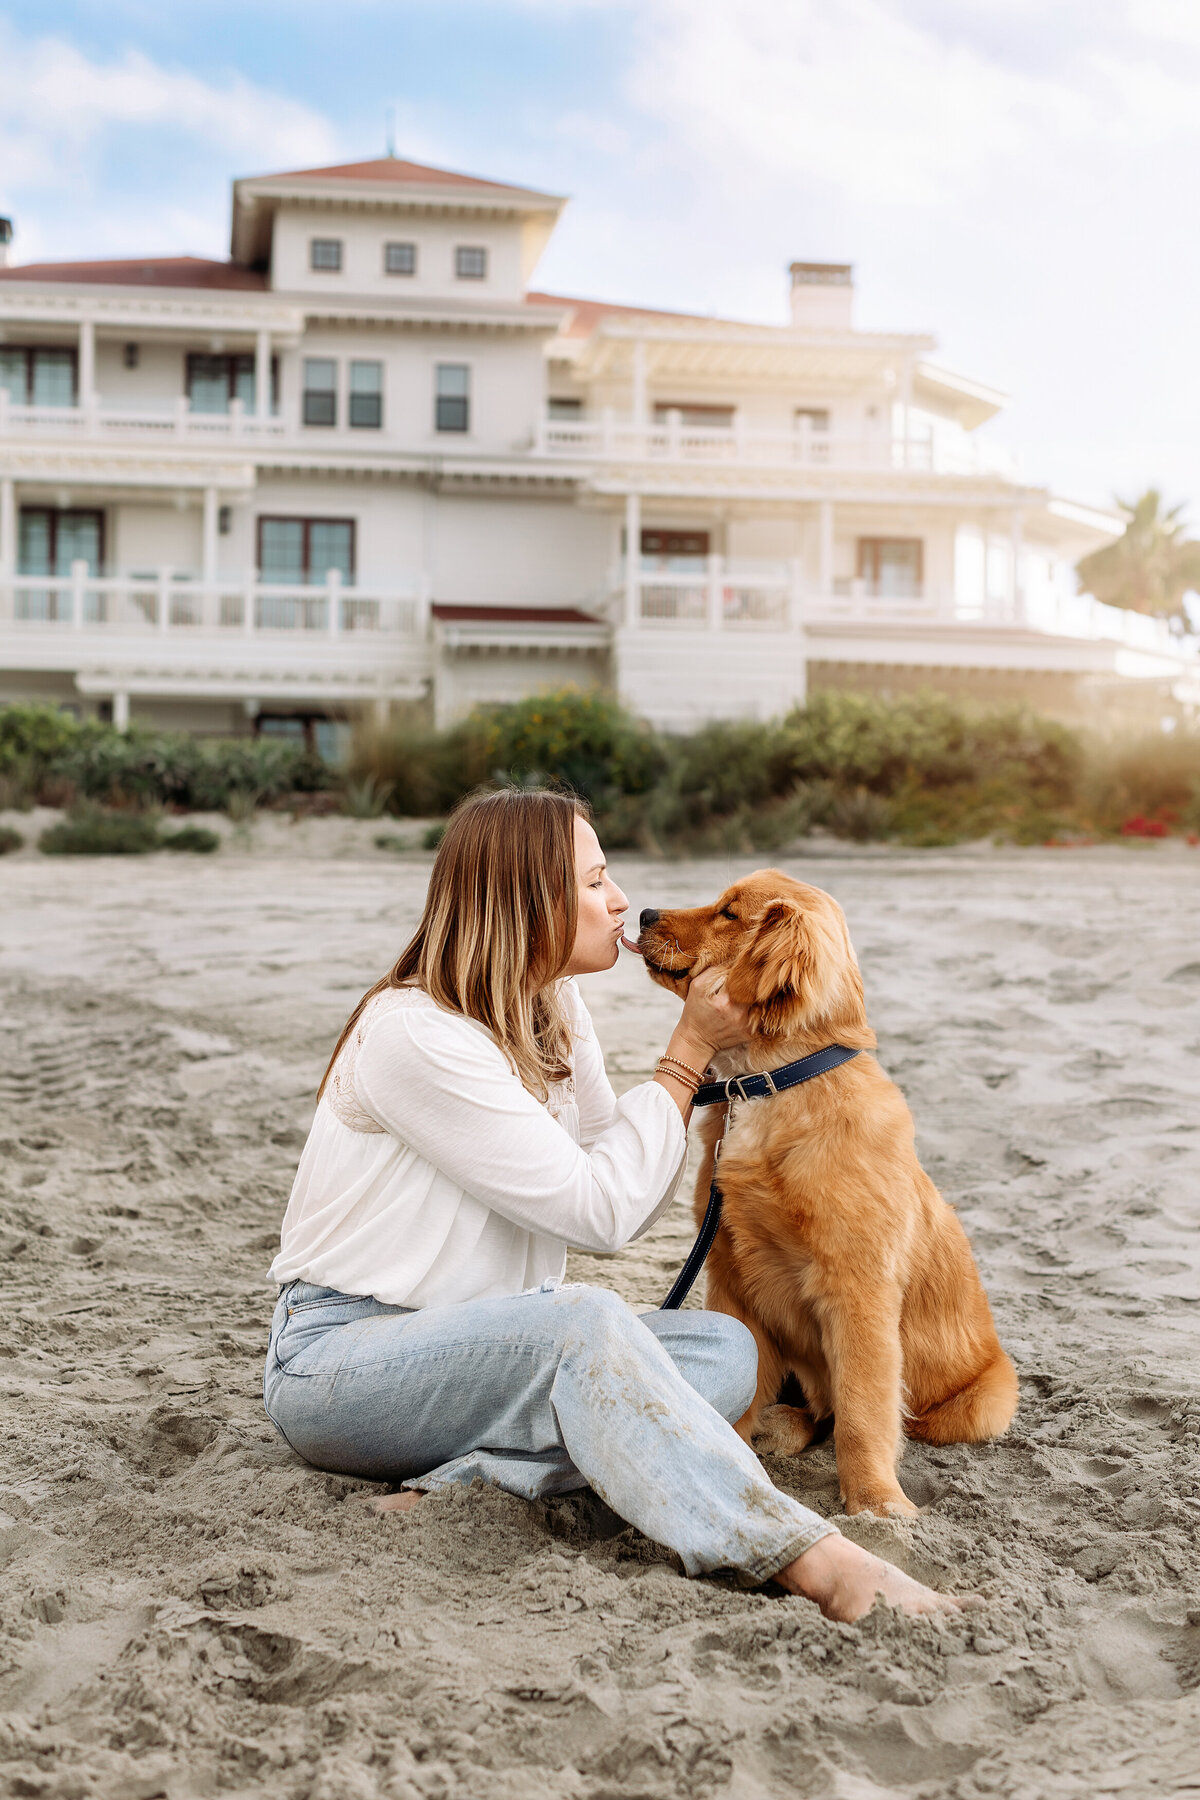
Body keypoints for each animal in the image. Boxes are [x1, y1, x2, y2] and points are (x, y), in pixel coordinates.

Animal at [636, 874, 1014, 1519]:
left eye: (729, 913)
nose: (640, 913)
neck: (768, 1085)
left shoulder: (857, 1289)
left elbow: (863, 1412)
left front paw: (877, 1506)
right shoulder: (731, 1272)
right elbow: (743, 1387)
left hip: (986, 1399)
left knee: (861, 1415)